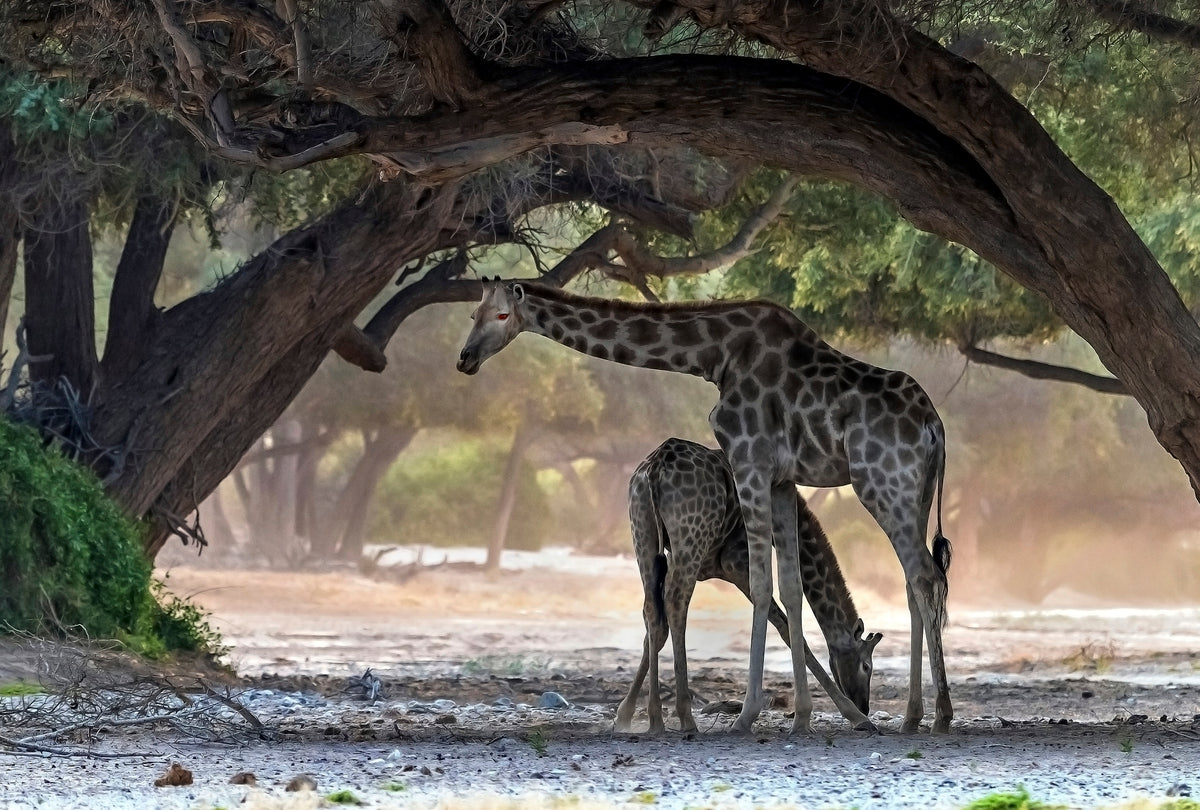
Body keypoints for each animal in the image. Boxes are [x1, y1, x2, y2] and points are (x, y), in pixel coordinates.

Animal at [614, 437, 882, 734]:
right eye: (866, 666)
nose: (864, 705)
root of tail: (656, 467)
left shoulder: (675, 559)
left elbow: (654, 632)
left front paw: (624, 715)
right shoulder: (736, 564)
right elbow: (787, 629)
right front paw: (855, 717)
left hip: (644, 536)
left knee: (654, 611)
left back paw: (656, 719)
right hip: (690, 541)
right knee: (676, 603)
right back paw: (686, 717)